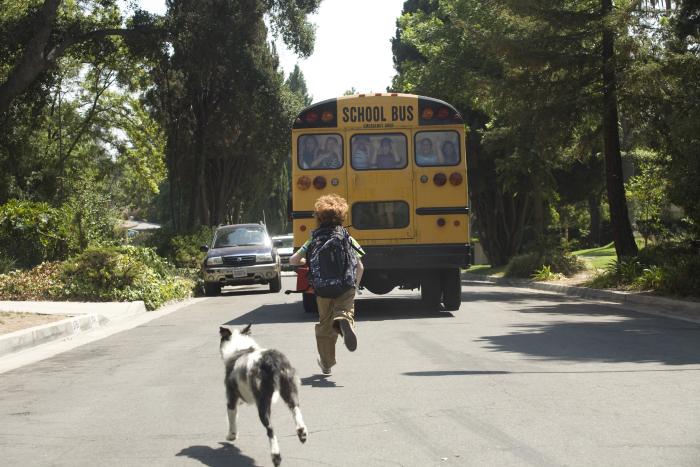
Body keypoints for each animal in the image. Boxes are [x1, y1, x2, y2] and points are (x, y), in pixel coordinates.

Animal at [219, 326, 306, 467]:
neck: (240, 348)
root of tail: (270, 360)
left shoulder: (231, 398)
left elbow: (231, 419)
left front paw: (231, 436)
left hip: (262, 402)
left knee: (270, 429)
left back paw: (276, 456)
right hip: (289, 389)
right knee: (296, 409)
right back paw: (302, 432)